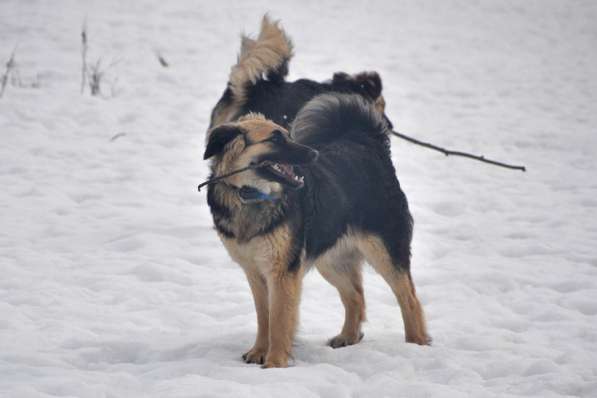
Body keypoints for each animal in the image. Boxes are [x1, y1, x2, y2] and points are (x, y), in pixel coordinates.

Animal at [204, 92, 428, 366]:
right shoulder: (255, 272)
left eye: (287, 134)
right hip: (331, 259)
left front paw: (275, 363)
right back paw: (348, 337)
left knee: (410, 299)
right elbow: (264, 317)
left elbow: (279, 320)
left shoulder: (282, 271)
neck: (250, 195)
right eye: (275, 138)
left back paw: (417, 344)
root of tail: (367, 144)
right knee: (355, 296)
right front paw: (259, 351)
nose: (313, 154)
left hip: (384, 250)